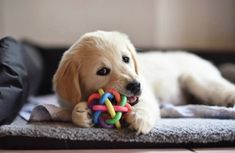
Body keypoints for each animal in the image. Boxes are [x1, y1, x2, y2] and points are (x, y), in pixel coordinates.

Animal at [52, 30, 235, 133]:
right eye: (102, 71)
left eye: (126, 59)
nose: (135, 85)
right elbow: (72, 111)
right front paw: (82, 113)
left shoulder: (146, 95)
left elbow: (144, 106)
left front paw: (139, 118)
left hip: (196, 79)